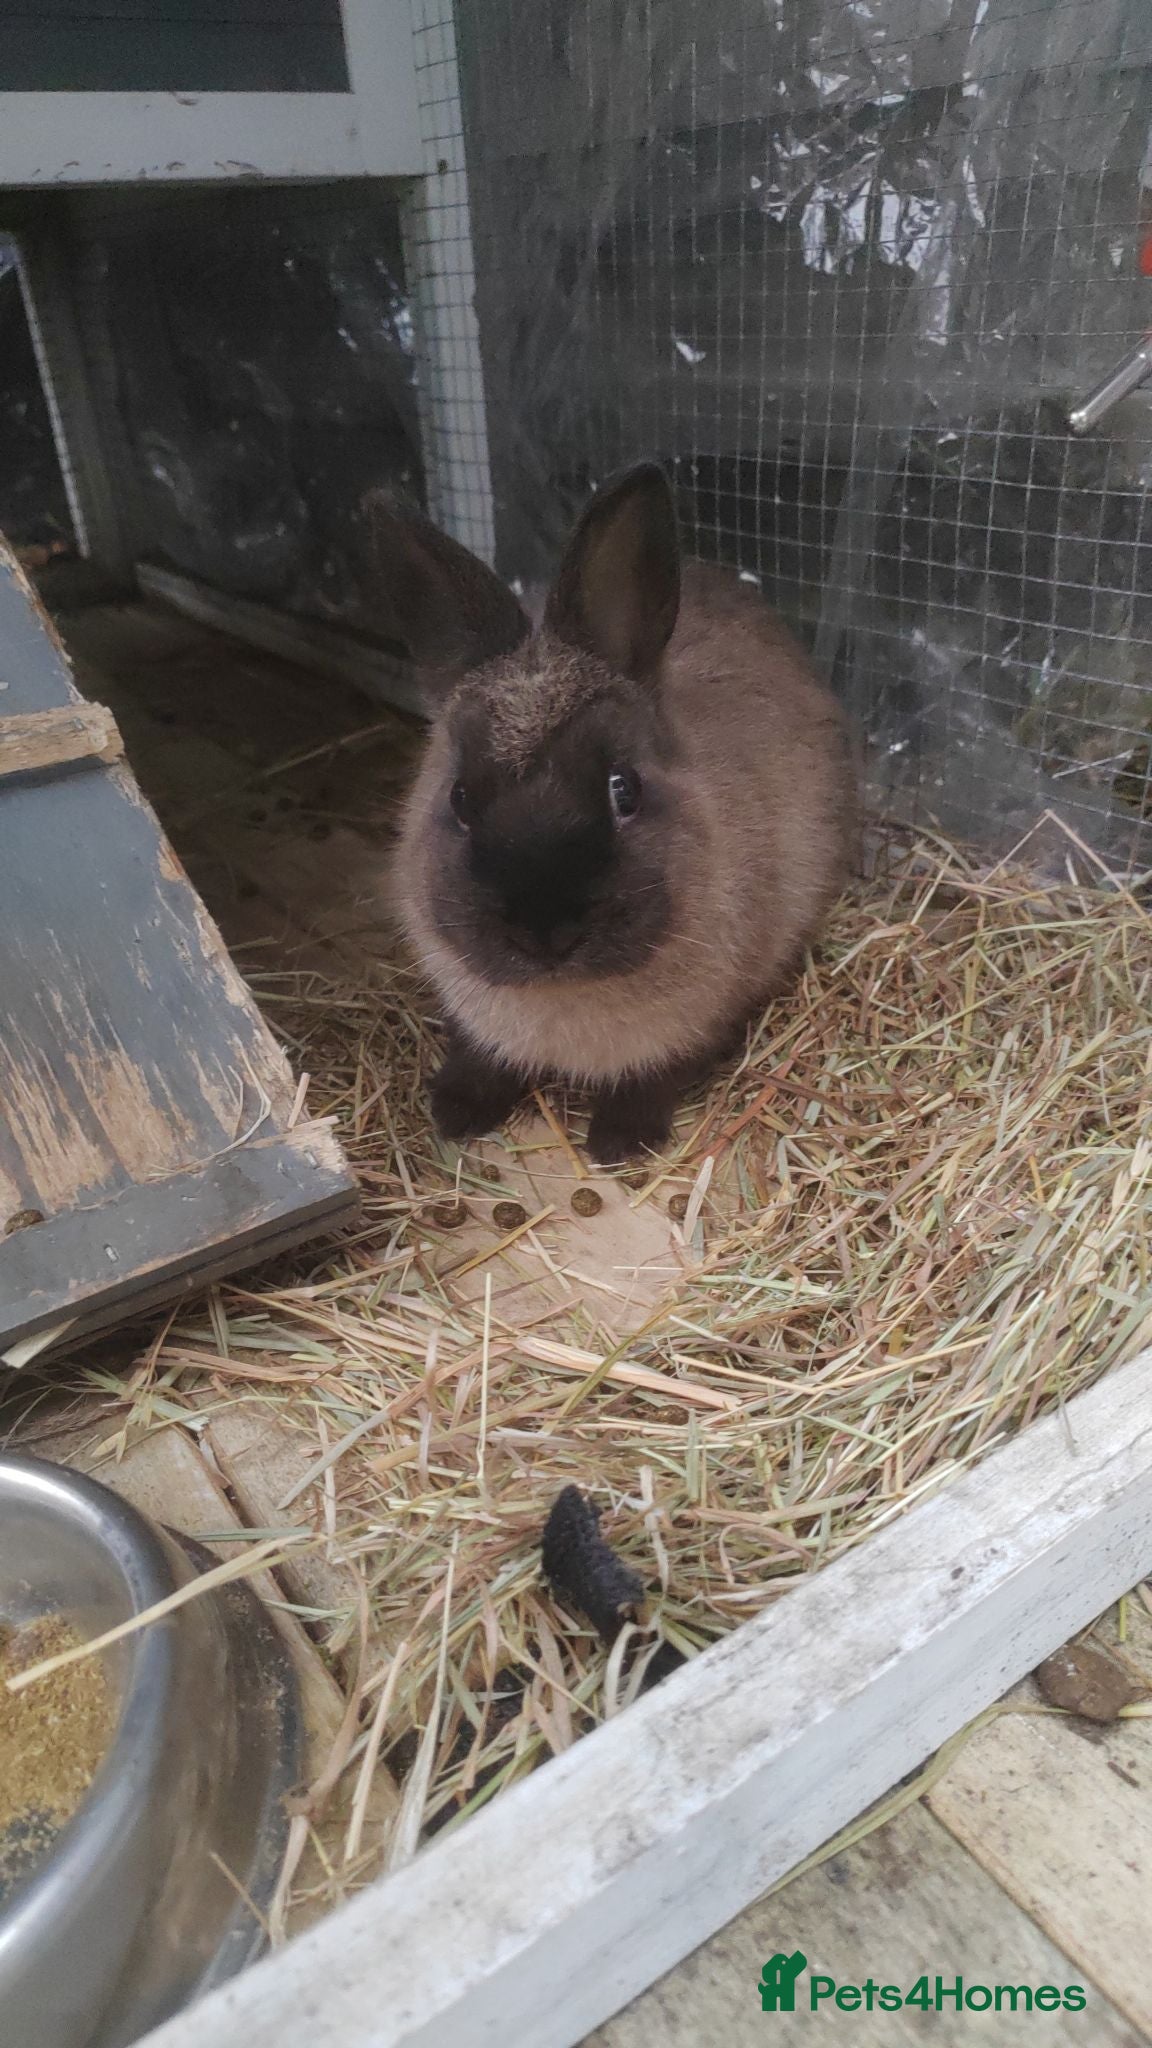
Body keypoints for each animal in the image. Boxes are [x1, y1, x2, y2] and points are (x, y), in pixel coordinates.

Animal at [379, 462, 856, 1163]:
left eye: (623, 789)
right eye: (459, 799)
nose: (545, 931)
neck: (564, 996)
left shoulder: (692, 1030)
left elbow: (651, 1079)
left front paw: (618, 1143)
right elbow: (480, 1057)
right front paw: (455, 1112)